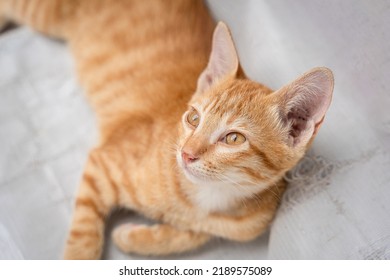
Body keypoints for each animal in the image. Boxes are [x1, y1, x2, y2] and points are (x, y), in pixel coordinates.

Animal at [0, 0, 336, 258]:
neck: (207, 197)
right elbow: (84, 234)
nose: (186, 154)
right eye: (194, 119)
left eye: (233, 138)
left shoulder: (238, 226)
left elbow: (187, 236)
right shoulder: (102, 163)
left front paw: (136, 237)